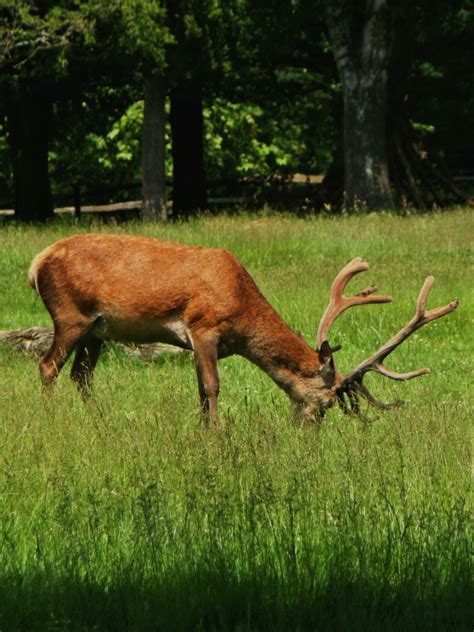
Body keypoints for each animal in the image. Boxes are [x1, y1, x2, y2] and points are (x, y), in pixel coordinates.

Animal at [27, 235, 458, 422]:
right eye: (327, 402)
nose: (308, 429)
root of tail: (37, 262)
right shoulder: (202, 326)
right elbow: (213, 387)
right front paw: (218, 435)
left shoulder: (202, 342)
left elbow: (201, 391)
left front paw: (204, 430)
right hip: (70, 315)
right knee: (48, 366)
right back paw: (51, 420)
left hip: (97, 330)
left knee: (81, 375)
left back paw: (100, 422)